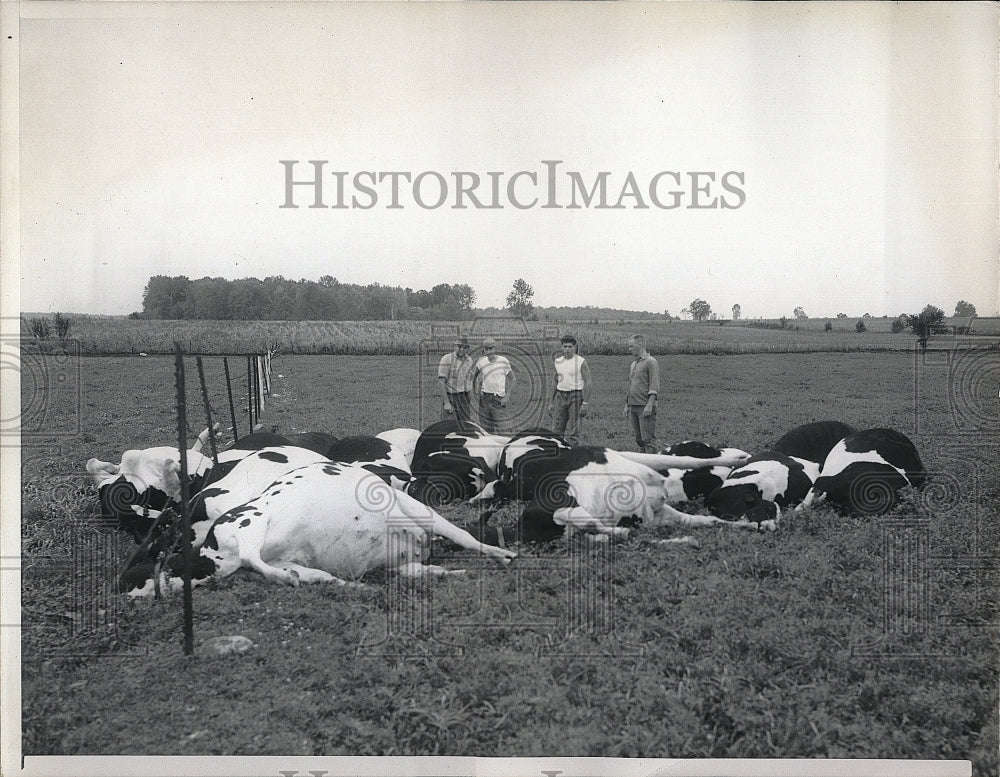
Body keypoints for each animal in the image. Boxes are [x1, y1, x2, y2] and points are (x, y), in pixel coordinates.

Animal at [119, 460, 516, 596]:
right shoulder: (411, 509)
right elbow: (460, 534)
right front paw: (501, 554)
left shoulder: (404, 559)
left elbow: (435, 564)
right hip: (253, 521)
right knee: (255, 556)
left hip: (268, 547)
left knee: (276, 566)